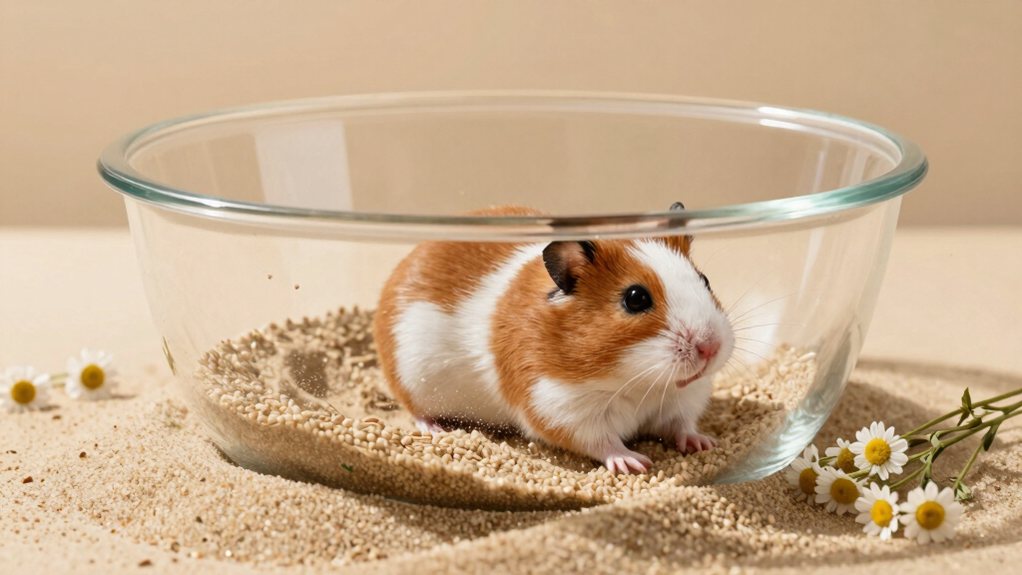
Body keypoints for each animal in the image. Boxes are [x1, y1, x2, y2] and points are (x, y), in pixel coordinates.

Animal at [373, 204, 734, 474]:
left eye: (705, 280)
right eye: (635, 298)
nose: (710, 347)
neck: (639, 381)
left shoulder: (683, 400)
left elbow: (682, 425)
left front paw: (705, 444)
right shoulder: (560, 407)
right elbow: (603, 442)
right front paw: (635, 463)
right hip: (412, 379)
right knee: (415, 410)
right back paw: (437, 430)